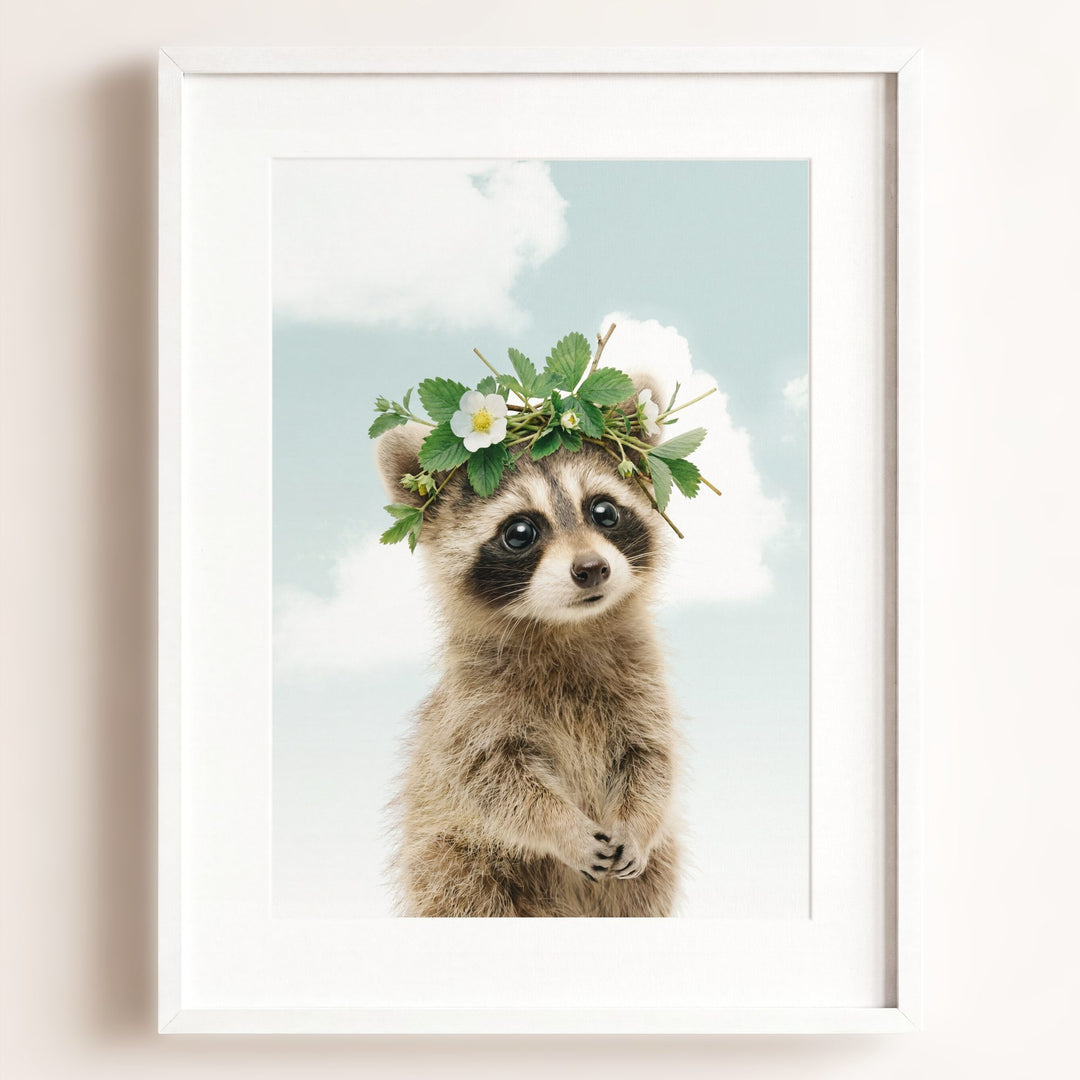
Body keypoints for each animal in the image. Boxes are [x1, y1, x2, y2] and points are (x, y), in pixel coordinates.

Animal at [376, 401, 680, 917]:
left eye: (604, 511)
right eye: (520, 532)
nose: (591, 569)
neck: (566, 628)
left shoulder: (643, 683)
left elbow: (652, 758)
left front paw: (637, 823)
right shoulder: (472, 707)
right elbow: (492, 780)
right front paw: (562, 827)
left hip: (656, 869)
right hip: (453, 857)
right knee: (462, 892)